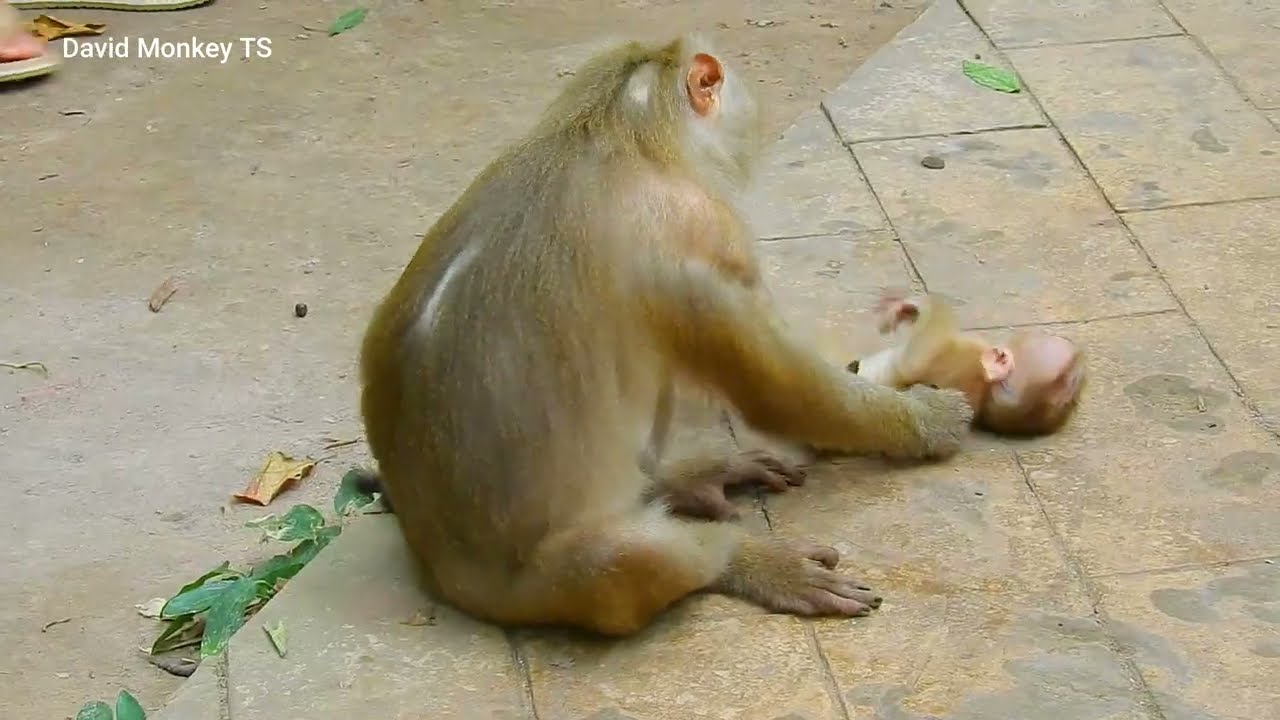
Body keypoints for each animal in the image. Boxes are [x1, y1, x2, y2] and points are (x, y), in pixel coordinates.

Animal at [356, 34, 975, 638]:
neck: (611, 133)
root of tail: (441, 572)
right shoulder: (702, 231)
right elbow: (779, 390)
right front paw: (925, 420)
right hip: (541, 587)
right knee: (619, 565)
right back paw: (741, 559)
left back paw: (679, 482)